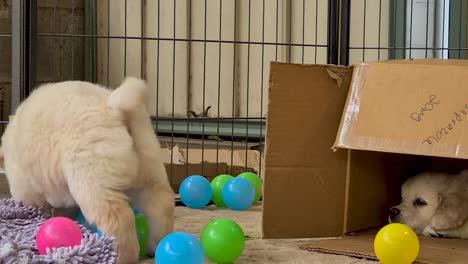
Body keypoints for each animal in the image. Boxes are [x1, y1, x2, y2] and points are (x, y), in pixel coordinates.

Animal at [0, 78, 175, 264]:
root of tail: (114, 107)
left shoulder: (24, 186)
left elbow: (33, 205)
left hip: (92, 180)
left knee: (118, 219)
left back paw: (120, 257)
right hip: (148, 165)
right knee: (160, 204)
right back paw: (156, 245)